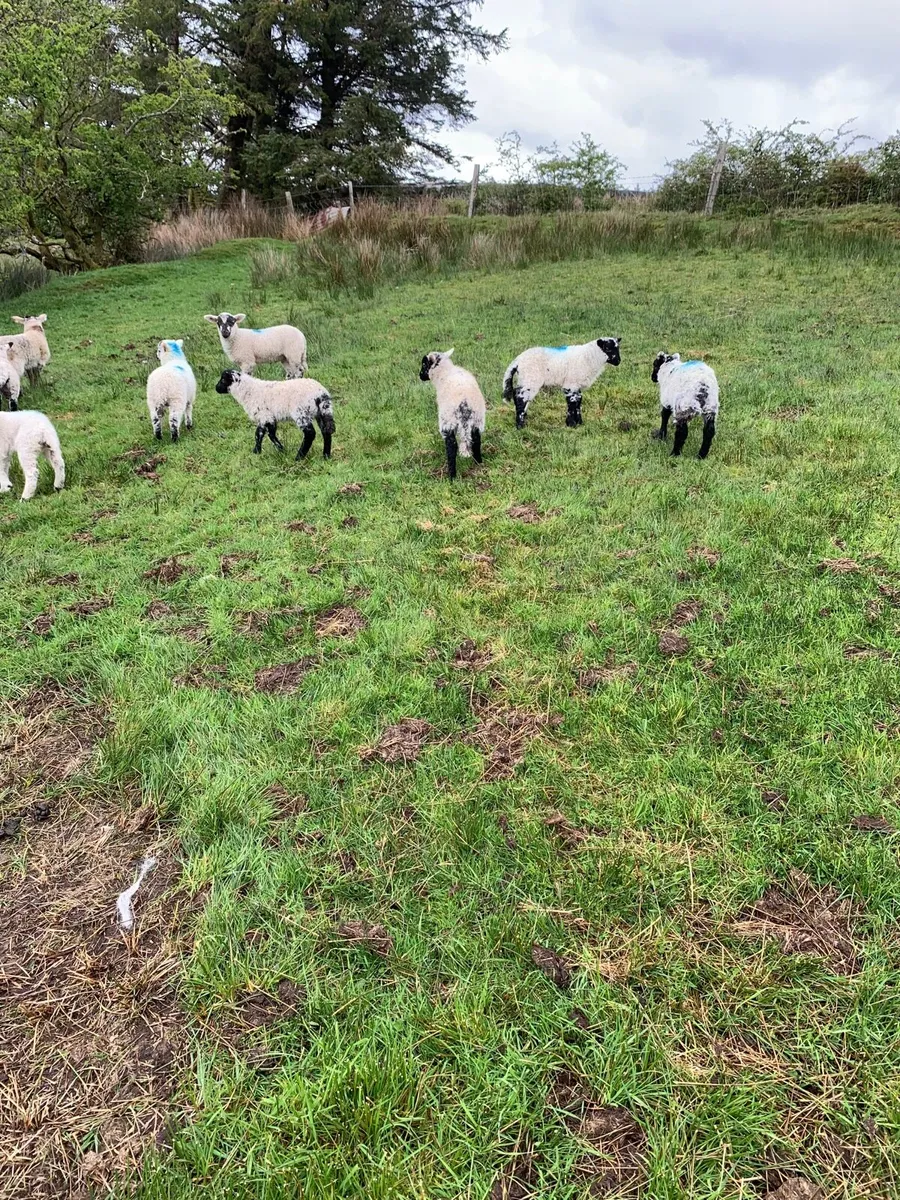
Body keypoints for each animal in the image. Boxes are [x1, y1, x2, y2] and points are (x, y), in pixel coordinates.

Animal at [419, 349, 486, 481]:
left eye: (424, 364)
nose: (420, 376)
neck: (444, 373)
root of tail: (464, 404)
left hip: (447, 420)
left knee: (451, 446)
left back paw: (452, 476)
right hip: (477, 419)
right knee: (476, 440)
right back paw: (478, 463)